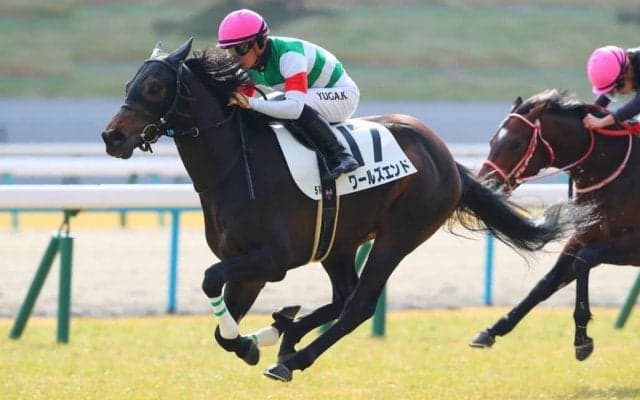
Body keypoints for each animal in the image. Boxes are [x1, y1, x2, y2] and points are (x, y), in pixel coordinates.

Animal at [101, 39, 566, 382]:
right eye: (128, 84)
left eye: (156, 88)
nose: (111, 137)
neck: (235, 166)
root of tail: (446, 157)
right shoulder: (249, 267)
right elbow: (222, 329)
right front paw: (253, 339)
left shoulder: (270, 261)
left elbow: (210, 280)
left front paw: (257, 342)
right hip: (338, 241)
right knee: (343, 296)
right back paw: (284, 330)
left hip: (399, 234)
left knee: (358, 305)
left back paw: (291, 359)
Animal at [470, 88, 640, 361]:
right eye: (492, 140)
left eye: (516, 143)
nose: (485, 185)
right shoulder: (584, 236)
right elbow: (546, 283)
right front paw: (492, 330)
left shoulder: (633, 246)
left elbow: (584, 260)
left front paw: (582, 339)